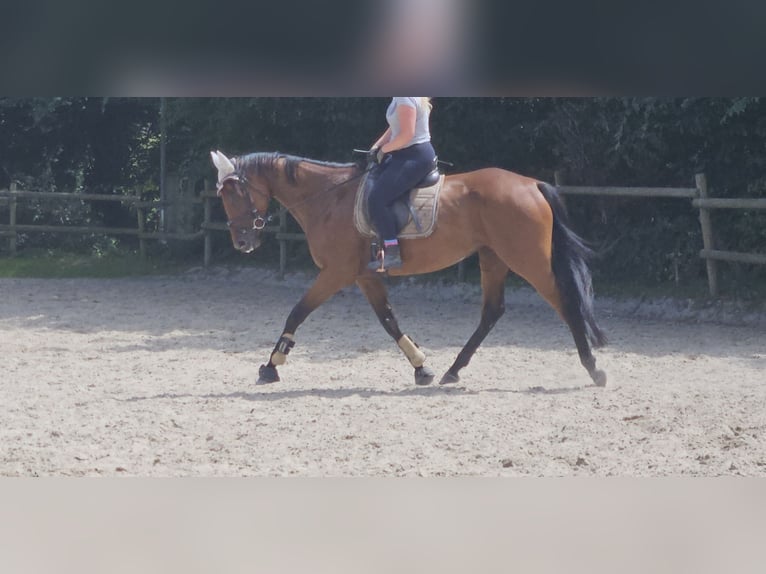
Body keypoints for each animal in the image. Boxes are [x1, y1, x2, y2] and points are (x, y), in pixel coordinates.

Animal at [210, 149, 607, 387]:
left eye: (232, 193)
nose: (242, 242)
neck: (330, 198)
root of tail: (532, 184)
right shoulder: (365, 275)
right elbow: (389, 320)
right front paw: (422, 366)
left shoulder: (336, 273)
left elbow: (297, 312)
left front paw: (271, 364)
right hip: (493, 258)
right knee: (492, 312)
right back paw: (452, 370)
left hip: (527, 259)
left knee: (566, 303)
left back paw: (593, 368)